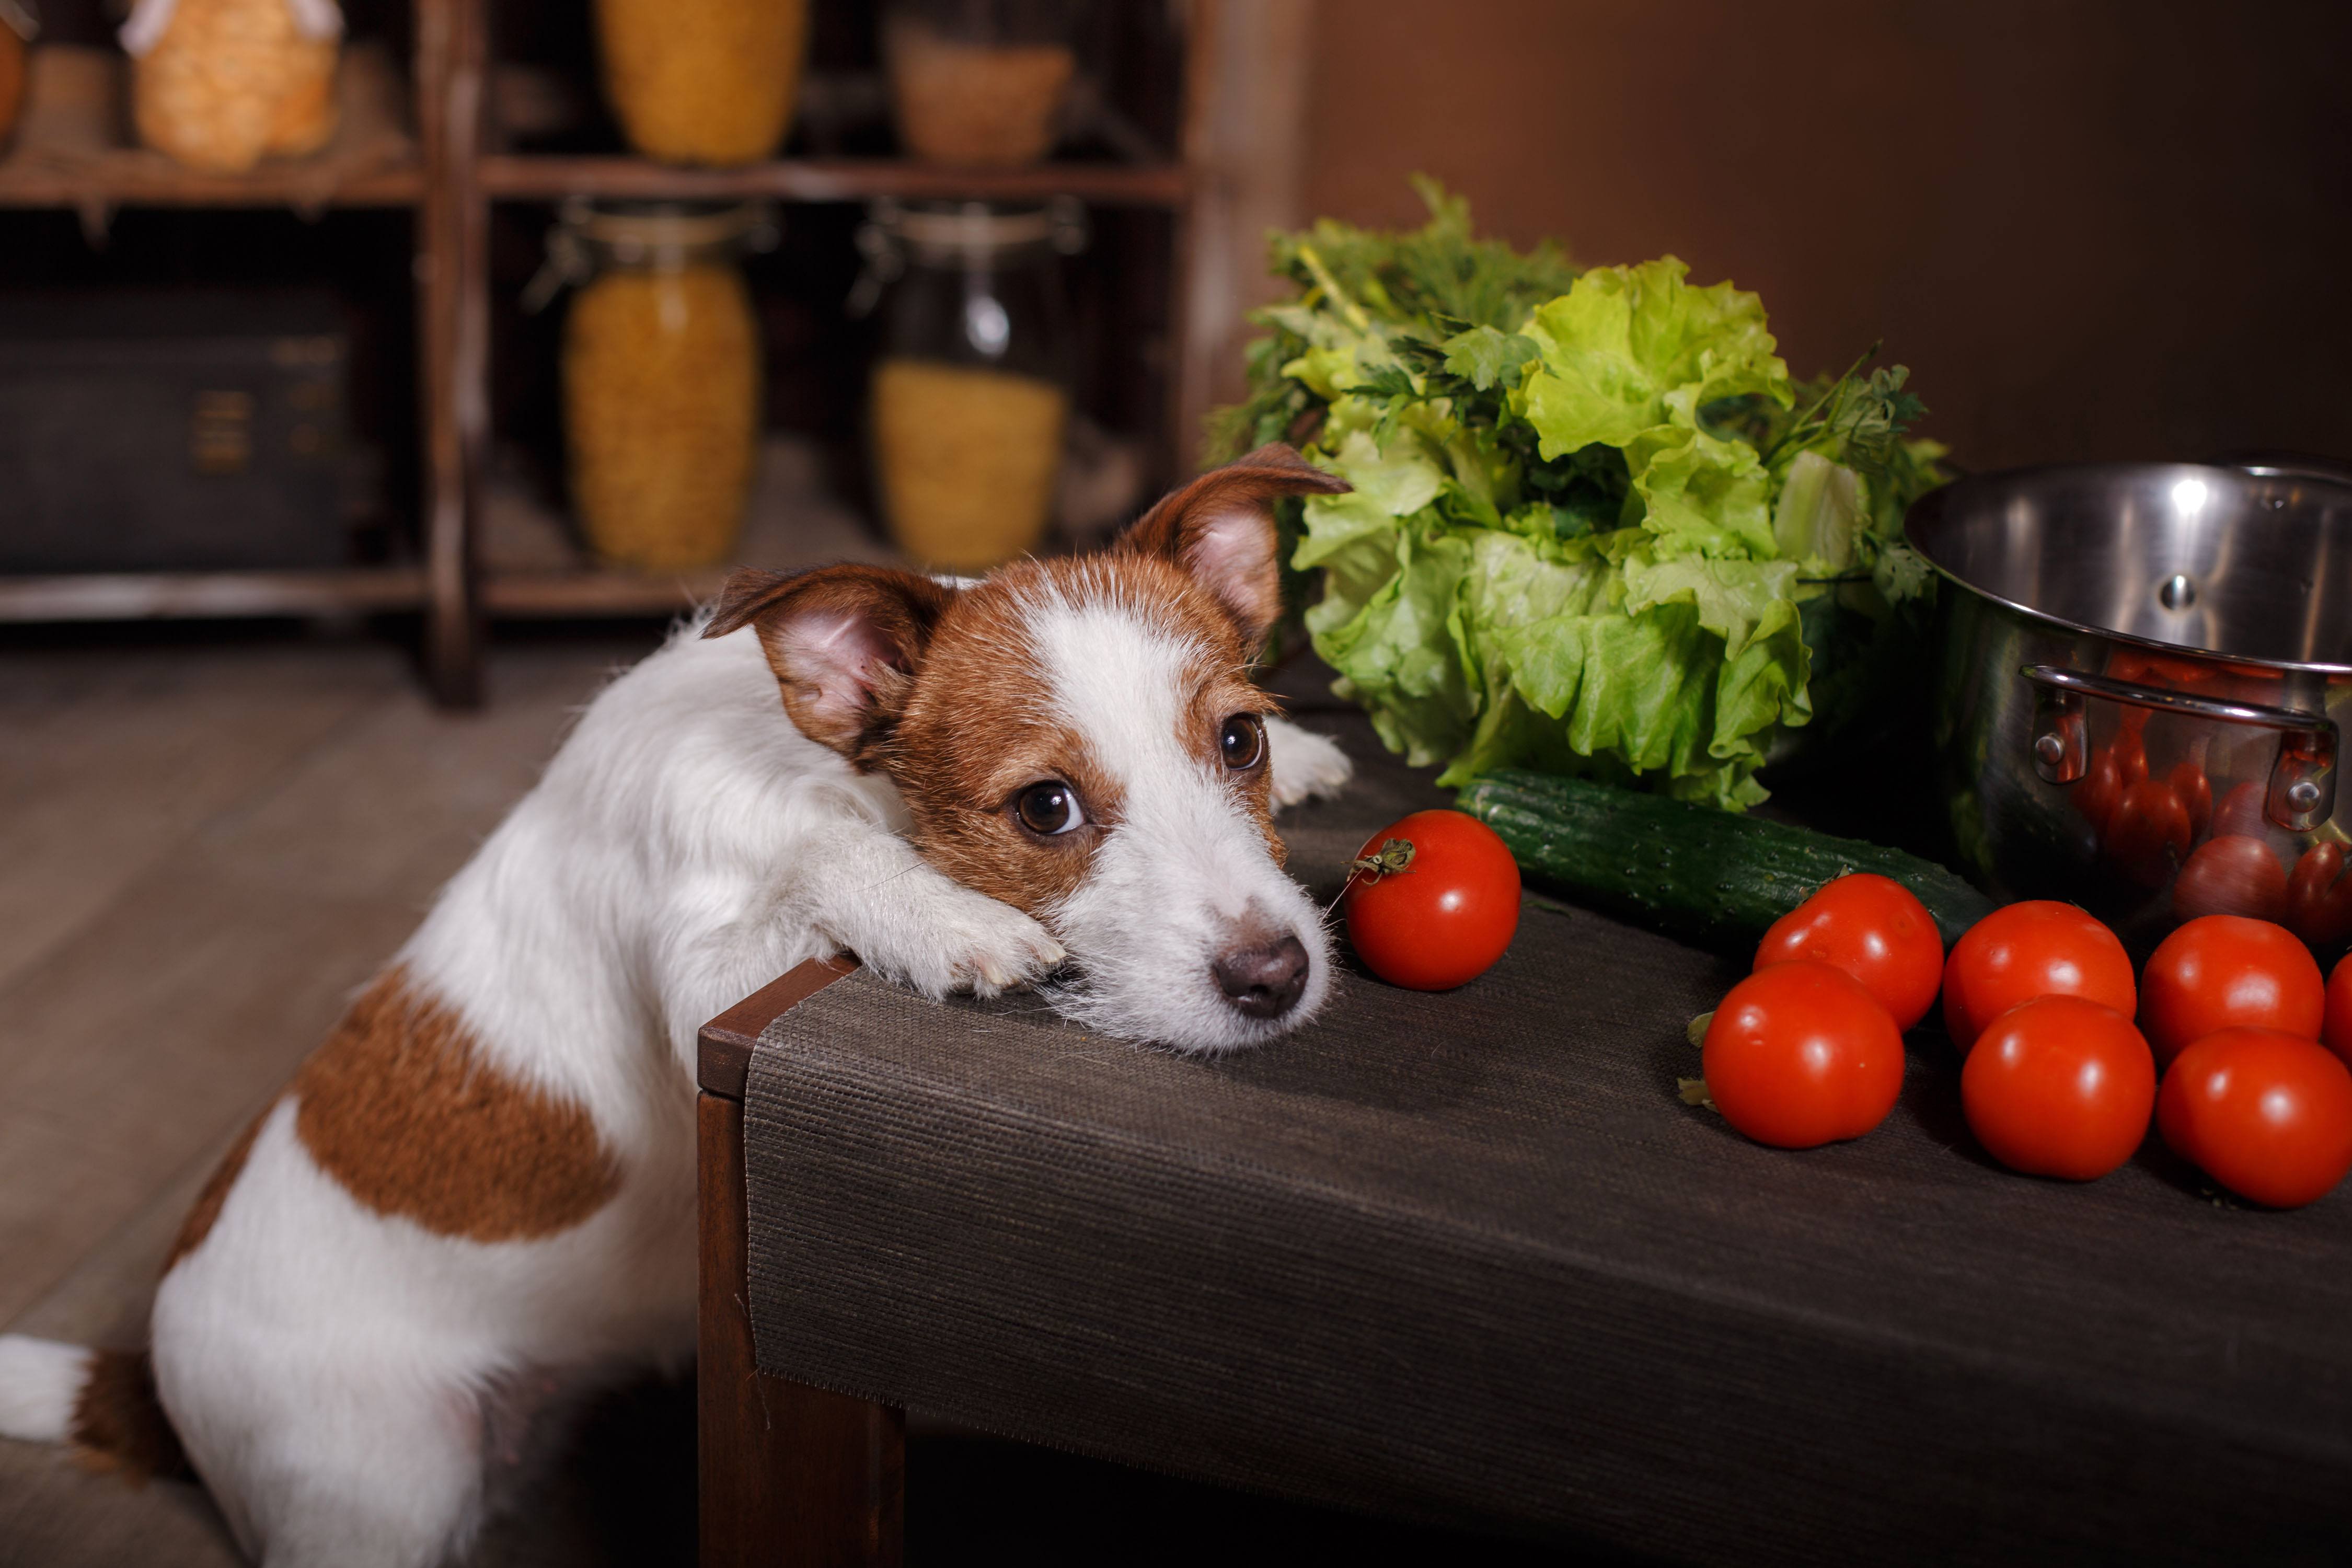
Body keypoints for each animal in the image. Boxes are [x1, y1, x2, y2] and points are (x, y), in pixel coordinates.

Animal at [0, 444, 1364, 1568]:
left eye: (1237, 740)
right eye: (1045, 810)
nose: (1276, 975)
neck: (809, 758)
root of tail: (151, 1372)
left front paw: (1310, 762)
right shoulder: (710, 974)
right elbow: (814, 855)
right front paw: (939, 917)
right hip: (378, 1483)